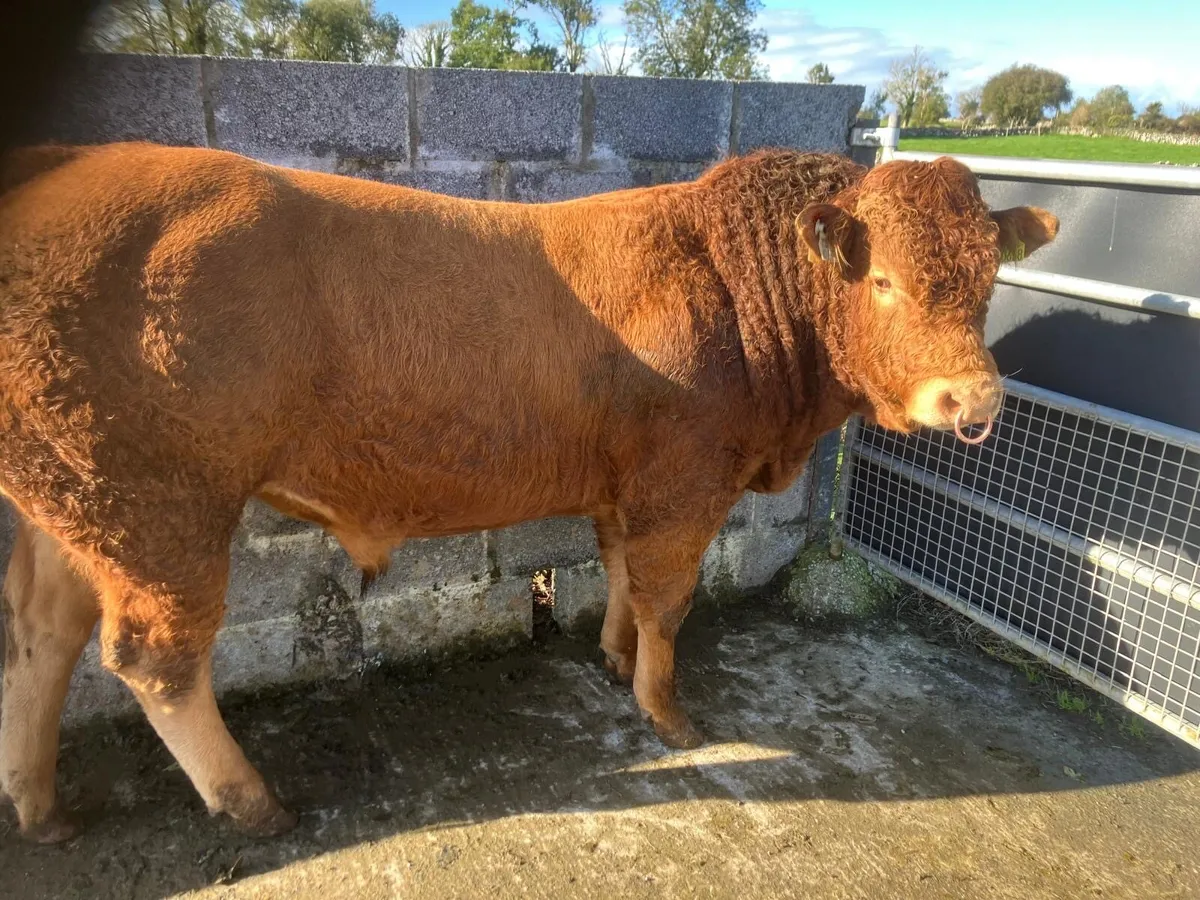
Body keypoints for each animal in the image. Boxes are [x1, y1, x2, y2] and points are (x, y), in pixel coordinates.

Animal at [0, 141, 1058, 842]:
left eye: (988, 279)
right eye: (882, 280)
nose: (973, 400)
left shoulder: (627, 484)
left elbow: (621, 573)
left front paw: (613, 657)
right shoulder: (684, 481)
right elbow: (669, 595)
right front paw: (666, 709)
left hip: (76, 504)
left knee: (42, 634)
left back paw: (37, 802)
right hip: (157, 508)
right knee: (154, 659)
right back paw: (250, 802)